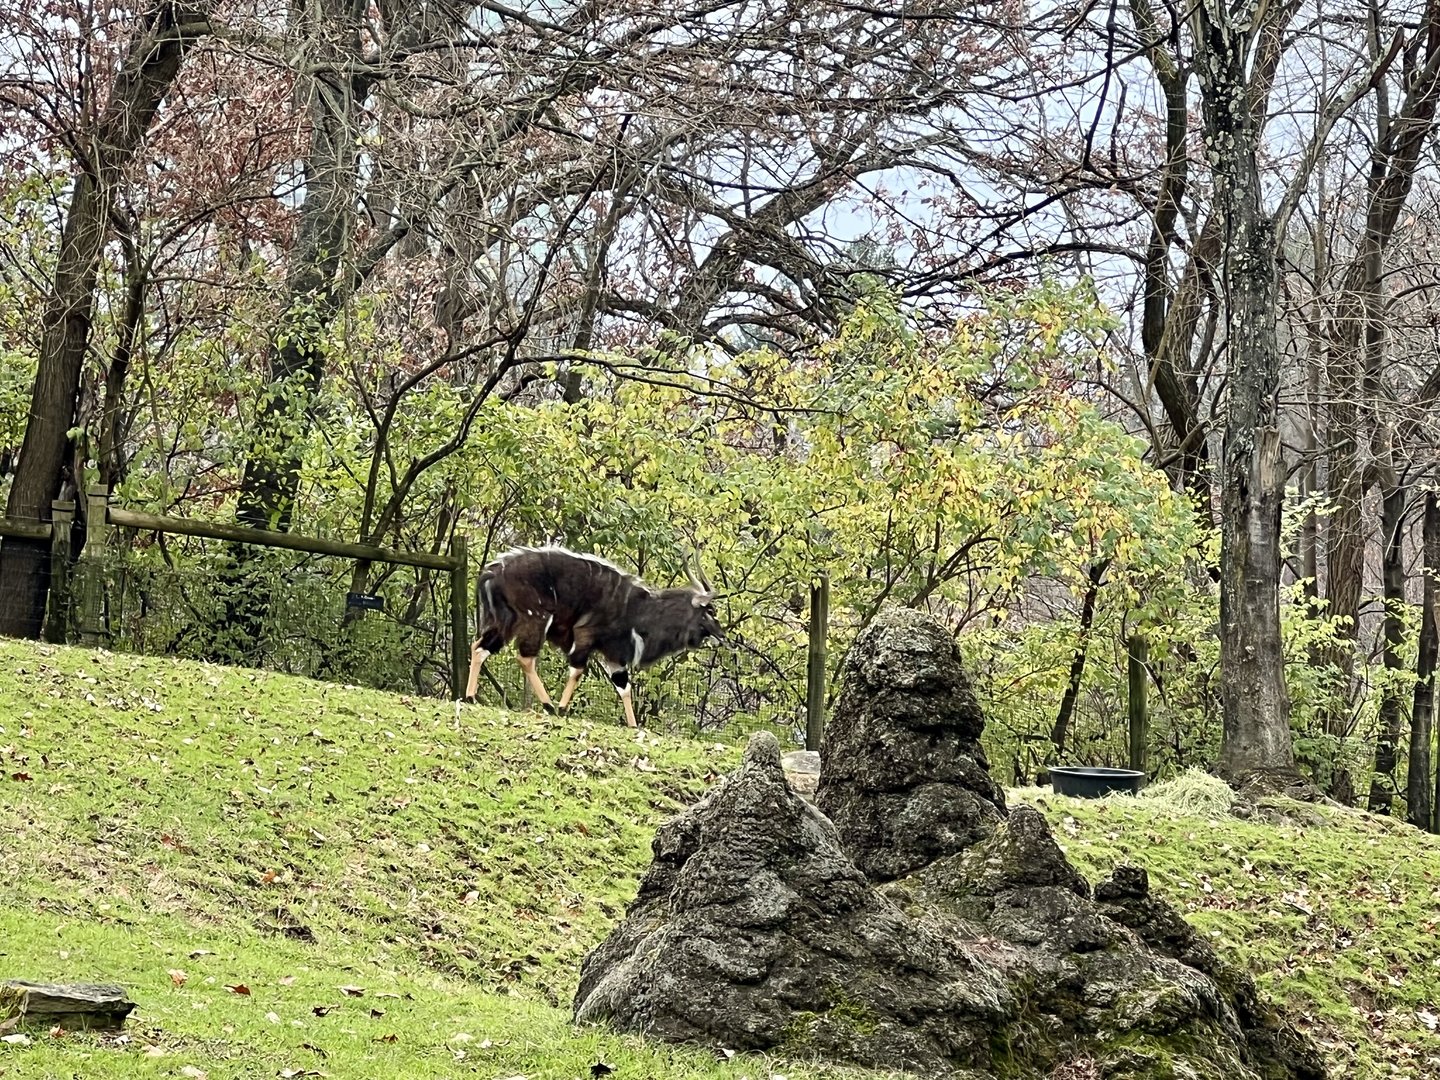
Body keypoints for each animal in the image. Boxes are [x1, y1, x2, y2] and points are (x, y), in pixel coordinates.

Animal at [462, 545, 725, 728]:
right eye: (710, 611)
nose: (722, 636)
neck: (638, 610)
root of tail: (490, 573)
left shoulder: (614, 655)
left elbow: (624, 686)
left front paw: (633, 726)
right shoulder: (585, 637)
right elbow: (578, 670)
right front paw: (562, 708)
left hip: (505, 622)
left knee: (479, 647)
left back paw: (470, 697)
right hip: (534, 620)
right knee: (525, 657)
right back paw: (548, 705)